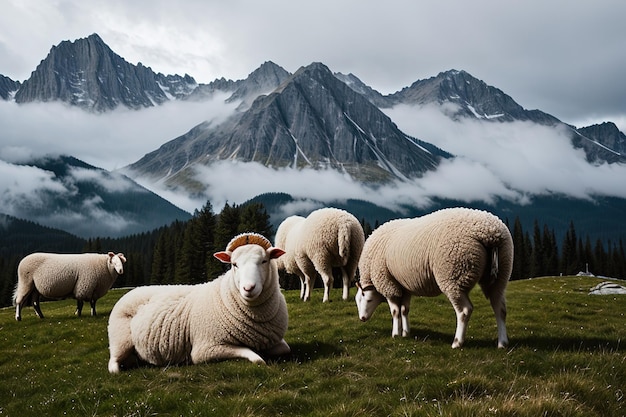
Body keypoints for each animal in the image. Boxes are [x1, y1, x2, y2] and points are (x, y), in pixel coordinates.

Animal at [107, 232, 290, 372]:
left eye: (264, 261)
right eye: (234, 264)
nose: (248, 288)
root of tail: (131, 291)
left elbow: (285, 349)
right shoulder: (206, 348)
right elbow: (257, 358)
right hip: (120, 340)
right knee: (113, 362)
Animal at [354, 207, 510, 348]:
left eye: (368, 300)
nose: (362, 318)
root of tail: (490, 232)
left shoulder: (388, 284)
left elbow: (395, 311)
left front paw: (395, 334)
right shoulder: (404, 287)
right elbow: (404, 310)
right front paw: (405, 333)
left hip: (454, 275)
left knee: (465, 310)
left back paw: (457, 342)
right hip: (501, 274)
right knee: (500, 308)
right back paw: (502, 343)